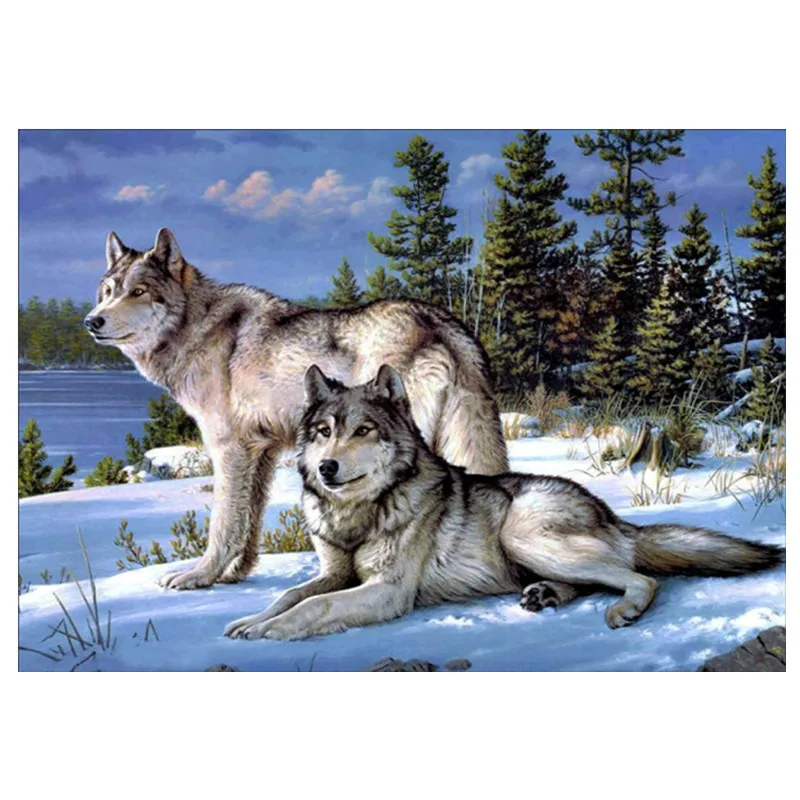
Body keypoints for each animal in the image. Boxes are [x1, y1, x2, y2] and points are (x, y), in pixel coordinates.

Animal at [85, 228, 508, 590]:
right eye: (107, 291)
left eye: (138, 291)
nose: (92, 321)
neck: (196, 327)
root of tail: (442, 322)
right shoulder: (262, 452)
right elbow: (249, 522)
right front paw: (234, 574)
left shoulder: (228, 450)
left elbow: (223, 524)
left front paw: (200, 576)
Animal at [224, 365, 784, 640]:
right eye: (323, 432)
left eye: (363, 431)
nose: (326, 468)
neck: (359, 513)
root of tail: (611, 514)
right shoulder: (335, 573)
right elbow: (290, 595)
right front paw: (251, 621)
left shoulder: (388, 590)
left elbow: (313, 606)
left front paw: (269, 633)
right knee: (595, 581)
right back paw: (545, 596)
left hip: (523, 534)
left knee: (642, 579)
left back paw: (621, 611)